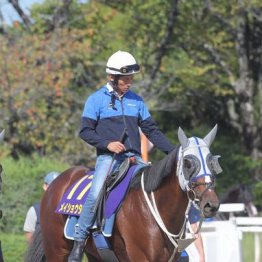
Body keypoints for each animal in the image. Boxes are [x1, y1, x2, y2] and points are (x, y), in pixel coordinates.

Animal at [26, 126, 221, 260]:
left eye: (211, 161)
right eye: (188, 163)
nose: (211, 204)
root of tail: (55, 185)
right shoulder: (141, 257)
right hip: (57, 251)